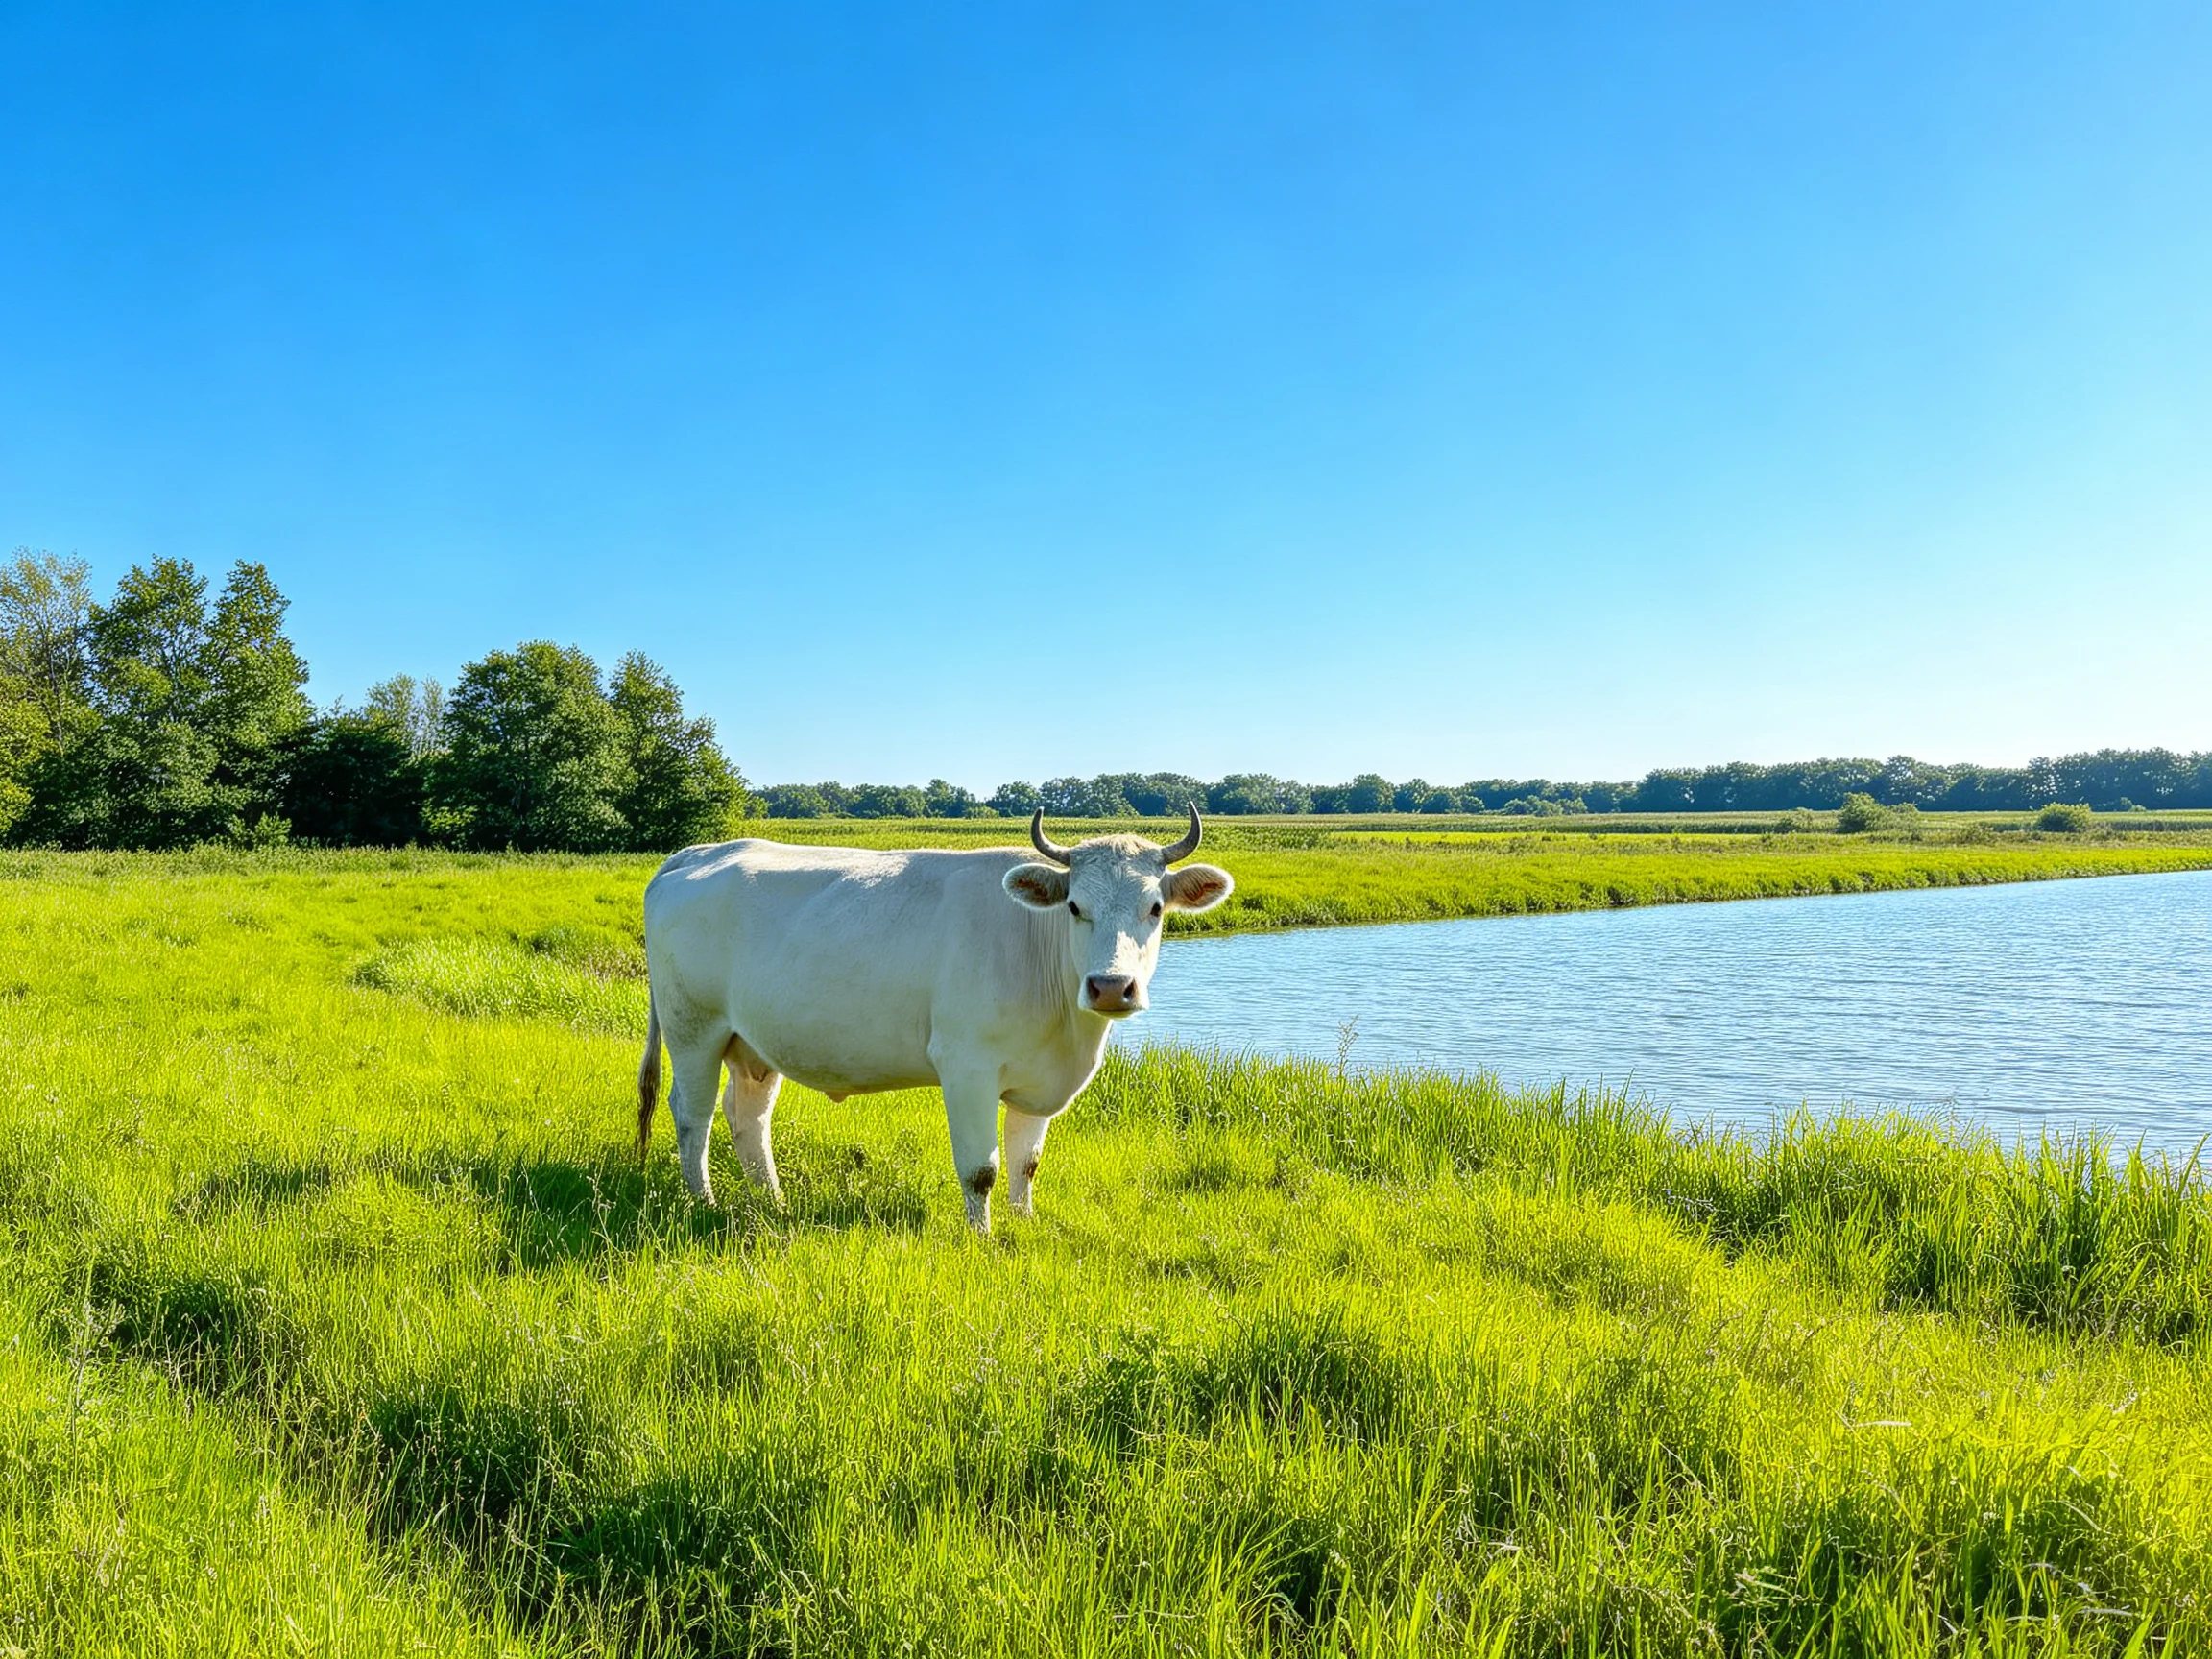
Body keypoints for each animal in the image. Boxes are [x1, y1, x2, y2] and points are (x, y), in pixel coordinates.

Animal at [636, 805, 1233, 1231]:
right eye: (1074, 907)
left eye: (1154, 908)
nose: (1111, 986)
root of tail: (700, 852)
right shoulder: (966, 1066)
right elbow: (982, 1169)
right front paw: (982, 1239)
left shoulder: (1038, 1077)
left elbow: (1026, 1163)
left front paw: (1023, 1225)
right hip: (693, 1029)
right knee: (692, 1115)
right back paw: (705, 1203)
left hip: (751, 1044)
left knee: (747, 1117)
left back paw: (773, 1203)